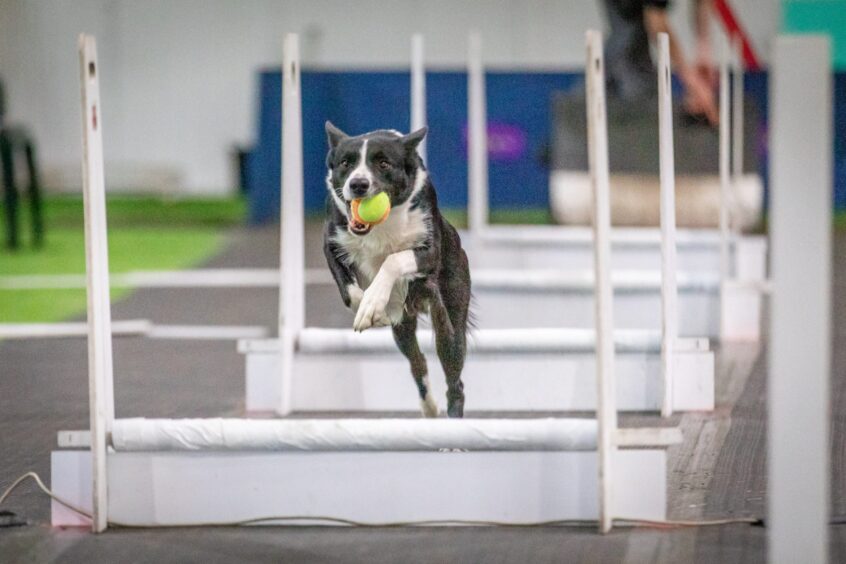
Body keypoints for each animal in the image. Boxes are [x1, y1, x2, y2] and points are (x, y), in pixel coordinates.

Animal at [322, 123, 470, 418]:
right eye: (346, 163)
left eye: (383, 163)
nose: (358, 184)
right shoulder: (331, 239)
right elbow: (348, 288)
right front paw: (367, 308)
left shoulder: (428, 251)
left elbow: (393, 260)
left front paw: (372, 302)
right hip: (403, 330)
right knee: (417, 361)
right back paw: (429, 407)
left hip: (450, 320)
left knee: (454, 378)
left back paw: (453, 423)